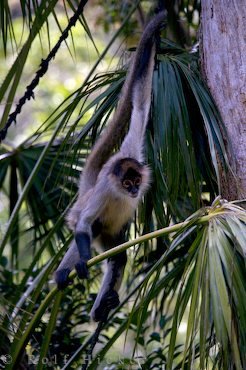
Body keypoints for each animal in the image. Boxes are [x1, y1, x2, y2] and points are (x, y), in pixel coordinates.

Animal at [55, 11, 166, 320]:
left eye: (137, 182)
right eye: (126, 184)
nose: (133, 191)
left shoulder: (133, 153)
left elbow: (140, 103)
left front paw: (157, 26)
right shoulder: (106, 188)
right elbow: (84, 226)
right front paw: (80, 264)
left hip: (112, 234)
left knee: (119, 258)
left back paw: (102, 308)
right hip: (93, 222)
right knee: (88, 227)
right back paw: (63, 274)